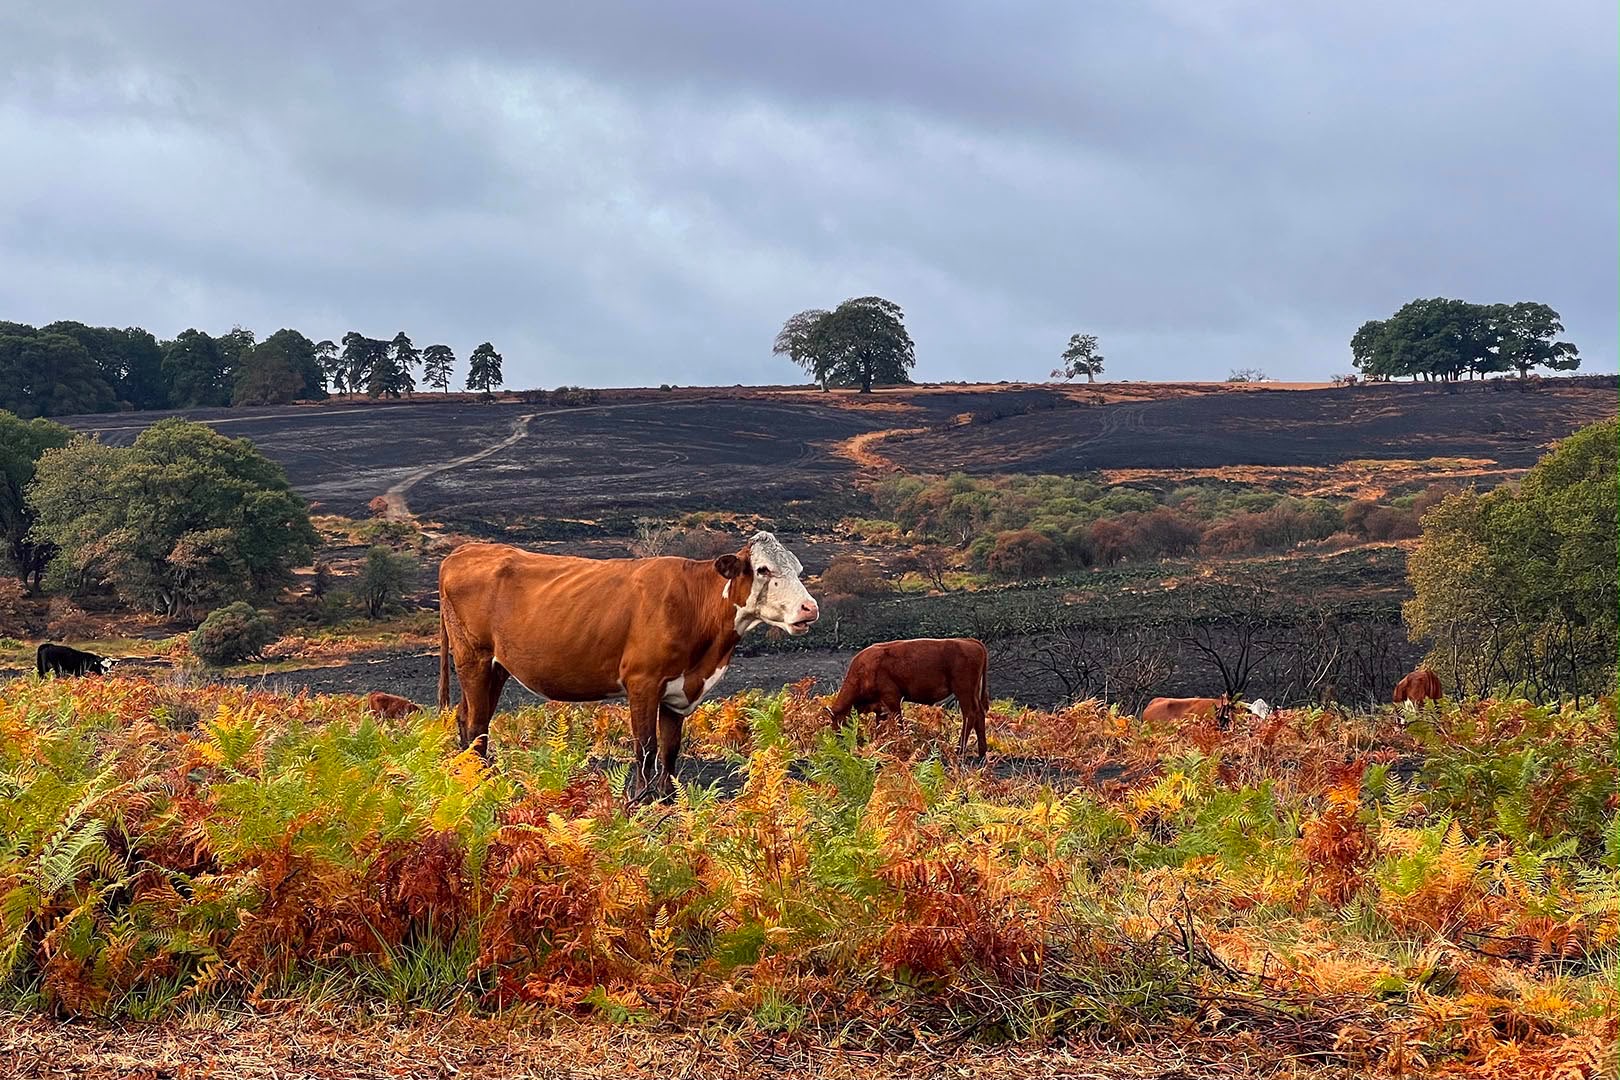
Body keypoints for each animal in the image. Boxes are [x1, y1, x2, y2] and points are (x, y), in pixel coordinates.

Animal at [438, 530, 818, 801]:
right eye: (763, 569)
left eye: (800, 570)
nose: (809, 608)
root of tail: (465, 551)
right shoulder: (643, 682)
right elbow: (645, 746)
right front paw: (640, 801)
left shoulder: (677, 692)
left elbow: (670, 748)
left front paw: (667, 800)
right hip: (473, 658)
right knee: (476, 726)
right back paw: (481, 785)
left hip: (496, 667)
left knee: (470, 719)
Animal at [825, 637, 992, 759]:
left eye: (839, 722)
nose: (838, 742)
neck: (865, 670)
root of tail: (969, 641)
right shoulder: (880, 708)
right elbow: (880, 727)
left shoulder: (892, 699)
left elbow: (899, 724)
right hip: (973, 693)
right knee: (979, 714)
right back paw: (982, 753)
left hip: (963, 692)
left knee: (970, 714)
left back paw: (959, 751)